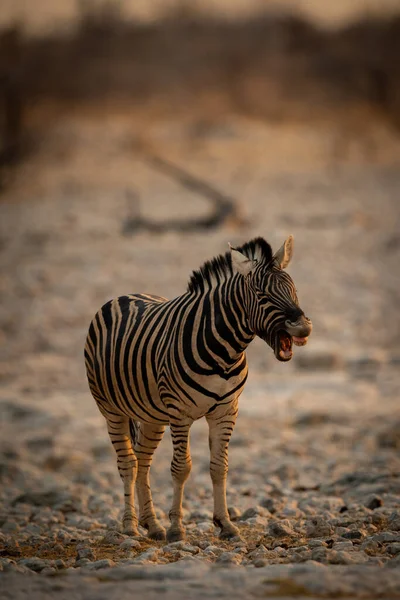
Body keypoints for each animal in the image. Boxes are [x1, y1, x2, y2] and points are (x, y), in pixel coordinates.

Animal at [84, 236, 312, 544]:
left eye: (294, 289)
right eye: (261, 294)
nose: (303, 327)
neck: (226, 352)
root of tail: (124, 295)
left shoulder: (226, 411)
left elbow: (219, 466)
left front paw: (225, 524)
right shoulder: (180, 414)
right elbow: (182, 467)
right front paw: (177, 529)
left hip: (153, 414)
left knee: (143, 460)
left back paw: (152, 525)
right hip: (111, 409)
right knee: (128, 463)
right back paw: (131, 526)